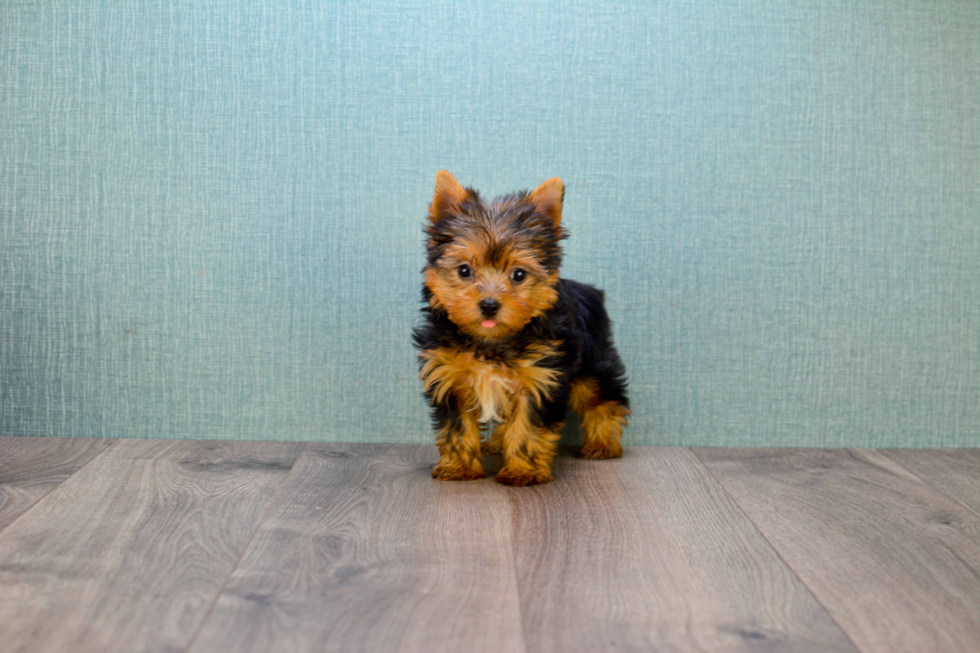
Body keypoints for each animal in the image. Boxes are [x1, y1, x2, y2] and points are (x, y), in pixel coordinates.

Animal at [412, 169, 628, 484]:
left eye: (518, 275)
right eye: (464, 270)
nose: (489, 305)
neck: (491, 341)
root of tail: (591, 291)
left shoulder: (540, 376)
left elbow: (527, 427)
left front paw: (523, 471)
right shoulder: (450, 375)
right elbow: (458, 425)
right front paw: (460, 466)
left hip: (593, 361)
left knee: (603, 398)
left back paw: (603, 444)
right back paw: (497, 443)